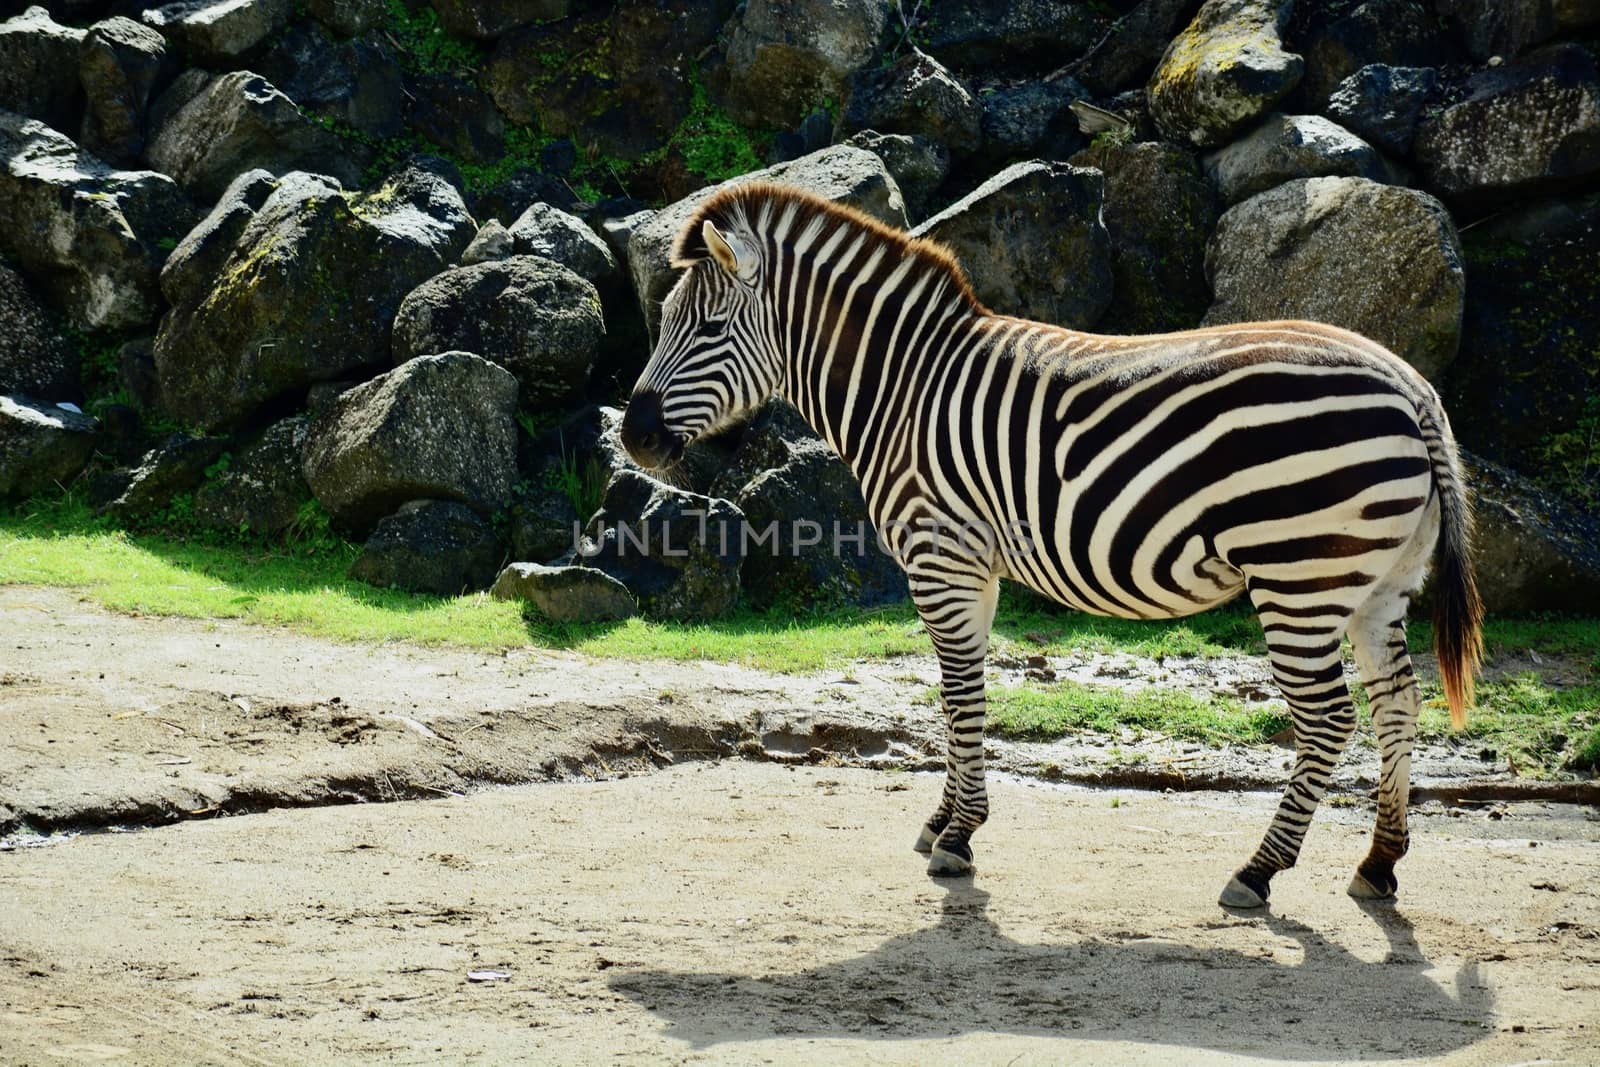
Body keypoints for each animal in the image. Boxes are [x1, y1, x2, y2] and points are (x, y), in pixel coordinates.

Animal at [617, 183, 1478, 908]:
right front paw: (943, 820)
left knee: (1329, 717)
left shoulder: (942, 556)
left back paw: (1259, 870)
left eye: (708, 328)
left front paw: (958, 837)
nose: (634, 438)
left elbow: (962, 694)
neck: (901, 387)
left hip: (1299, 573)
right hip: (1378, 583)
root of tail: (1409, 384)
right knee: (1398, 702)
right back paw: (1378, 861)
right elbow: (955, 694)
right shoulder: (972, 568)